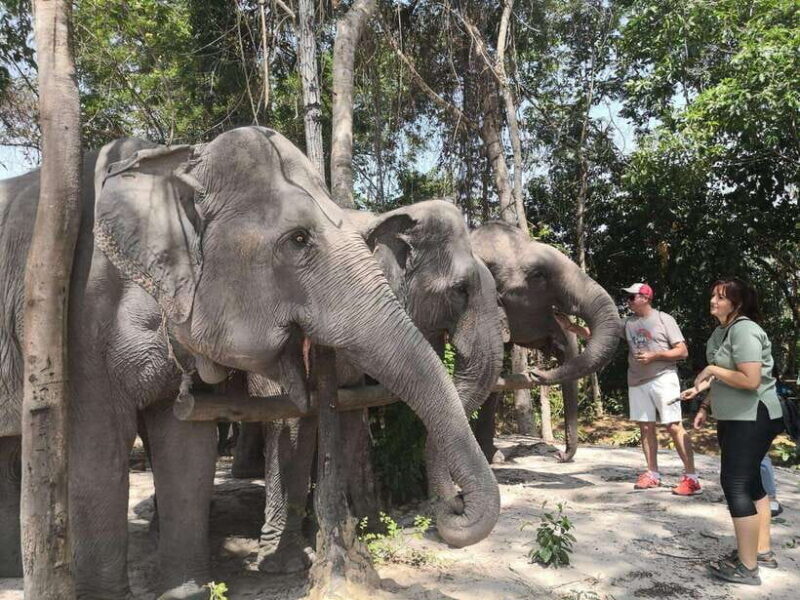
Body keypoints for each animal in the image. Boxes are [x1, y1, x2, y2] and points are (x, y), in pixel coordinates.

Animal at [233, 199, 506, 573]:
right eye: (460, 289)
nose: (456, 504)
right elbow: (292, 418)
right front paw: (287, 562)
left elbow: (346, 411)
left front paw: (354, 530)